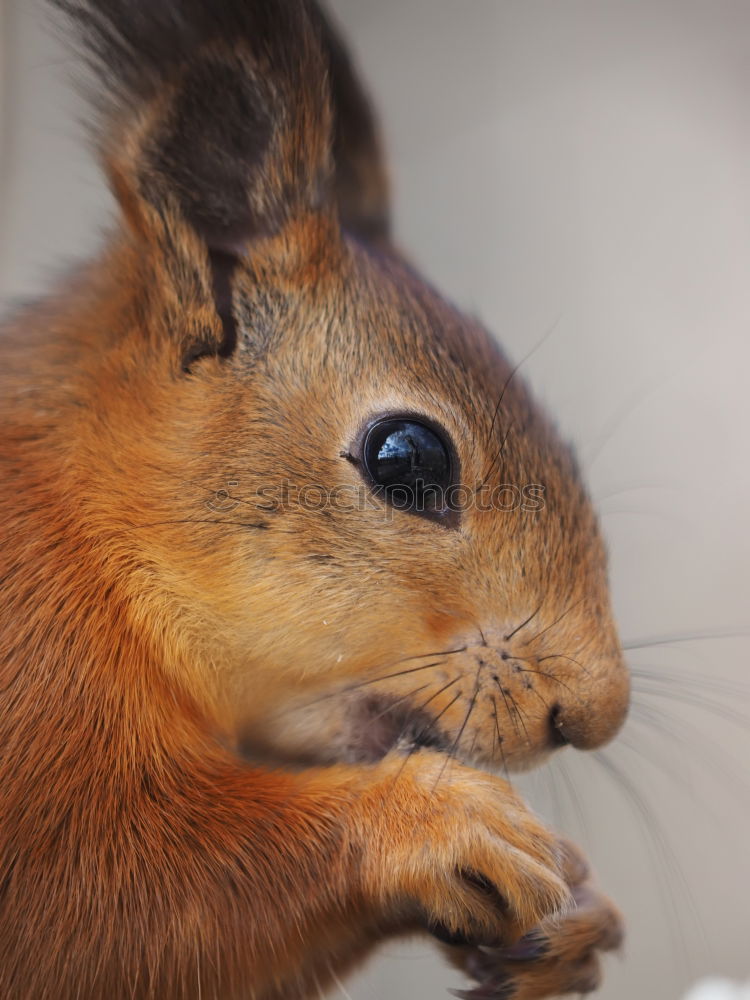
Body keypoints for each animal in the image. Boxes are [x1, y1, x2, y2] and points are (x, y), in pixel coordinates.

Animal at [0, 1, 632, 1000]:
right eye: (406, 458)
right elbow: (101, 902)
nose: (597, 713)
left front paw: (581, 920)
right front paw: (431, 825)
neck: (83, 532)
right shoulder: (31, 685)